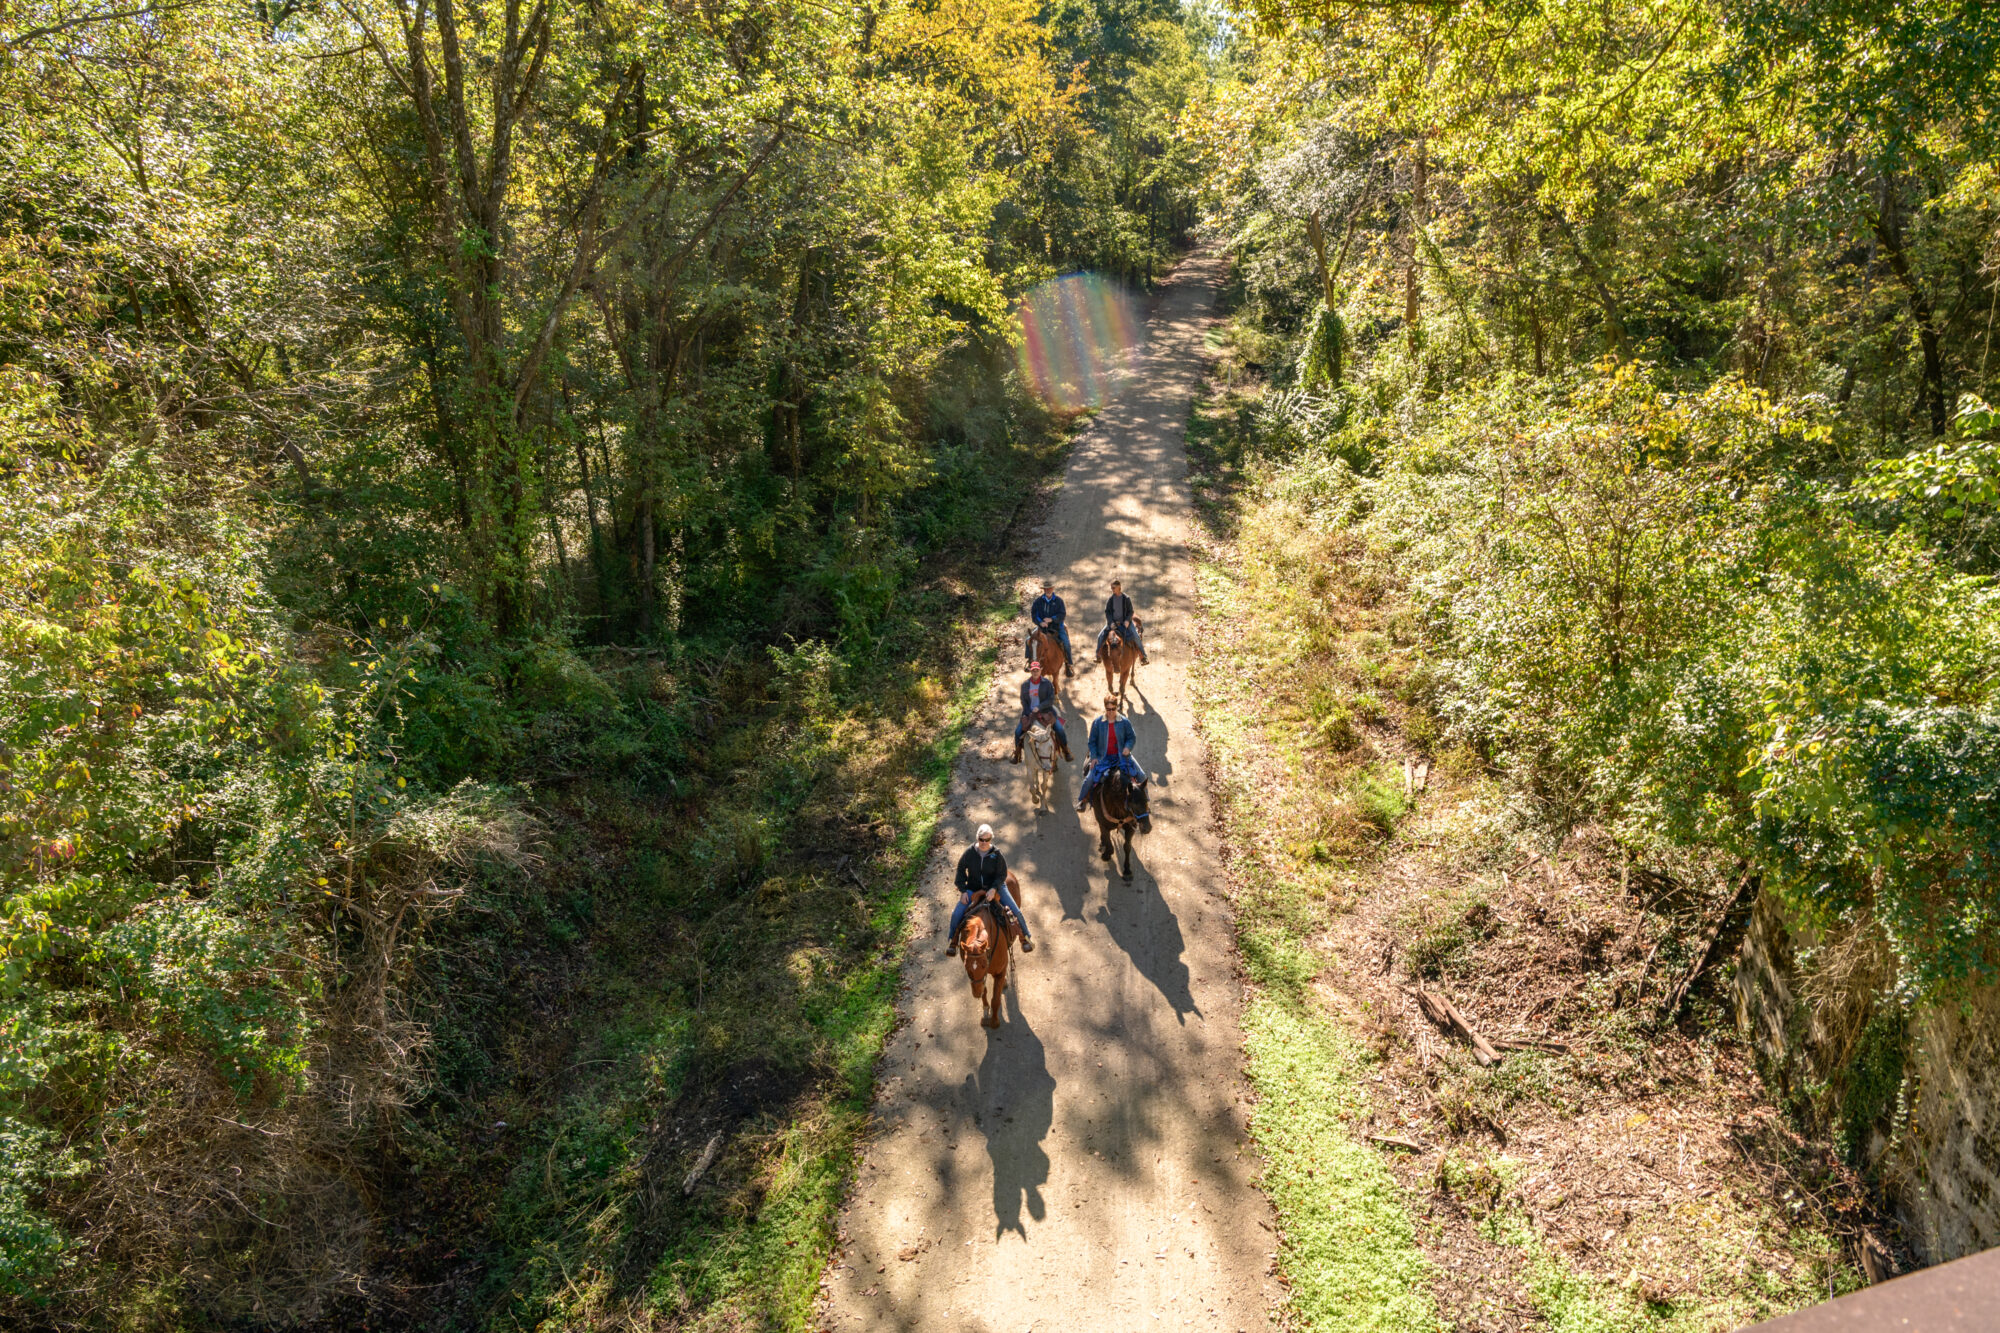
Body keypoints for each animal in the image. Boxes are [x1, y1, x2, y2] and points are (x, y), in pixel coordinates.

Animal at [952, 880, 1016, 1024]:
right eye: (966, 966)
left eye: (983, 965)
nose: (976, 993)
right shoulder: (982, 978)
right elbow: (985, 990)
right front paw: (986, 1009)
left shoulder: (998, 971)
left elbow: (996, 999)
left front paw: (994, 1022)